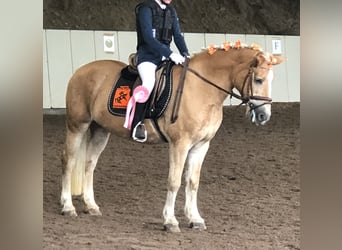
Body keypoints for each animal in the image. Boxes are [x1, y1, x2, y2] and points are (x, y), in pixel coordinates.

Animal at [60, 41, 284, 232]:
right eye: (258, 79)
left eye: (272, 80)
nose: (264, 116)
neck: (202, 89)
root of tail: (81, 70)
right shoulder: (180, 144)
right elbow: (174, 181)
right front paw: (170, 221)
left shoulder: (201, 145)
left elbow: (193, 181)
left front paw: (195, 219)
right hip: (77, 125)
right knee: (69, 161)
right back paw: (68, 207)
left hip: (100, 130)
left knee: (90, 164)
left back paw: (91, 206)